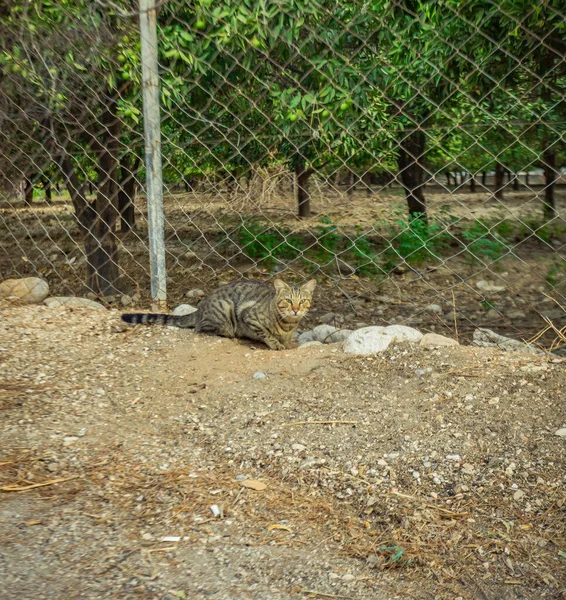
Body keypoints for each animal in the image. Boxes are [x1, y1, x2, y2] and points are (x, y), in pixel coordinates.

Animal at [121, 278, 318, 352]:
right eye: (287, 300)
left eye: (302, 301)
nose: (295, 309)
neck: (288, 323)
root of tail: (199, 310)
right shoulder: (248, 315)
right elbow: (266, 333)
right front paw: (276, 343)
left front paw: (287, 342)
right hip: (225, 310)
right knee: (202, 328)